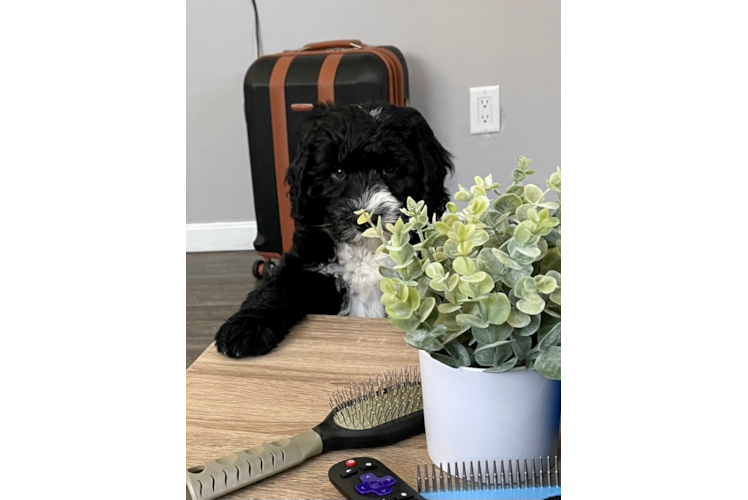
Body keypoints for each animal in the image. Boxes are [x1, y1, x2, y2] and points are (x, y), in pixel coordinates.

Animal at [213, 103, 452, 358]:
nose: (365, 219)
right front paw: (244, 329)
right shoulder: (303, 263)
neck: (365, 252)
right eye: (338, 172)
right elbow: (276, 288)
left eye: (390, 168)